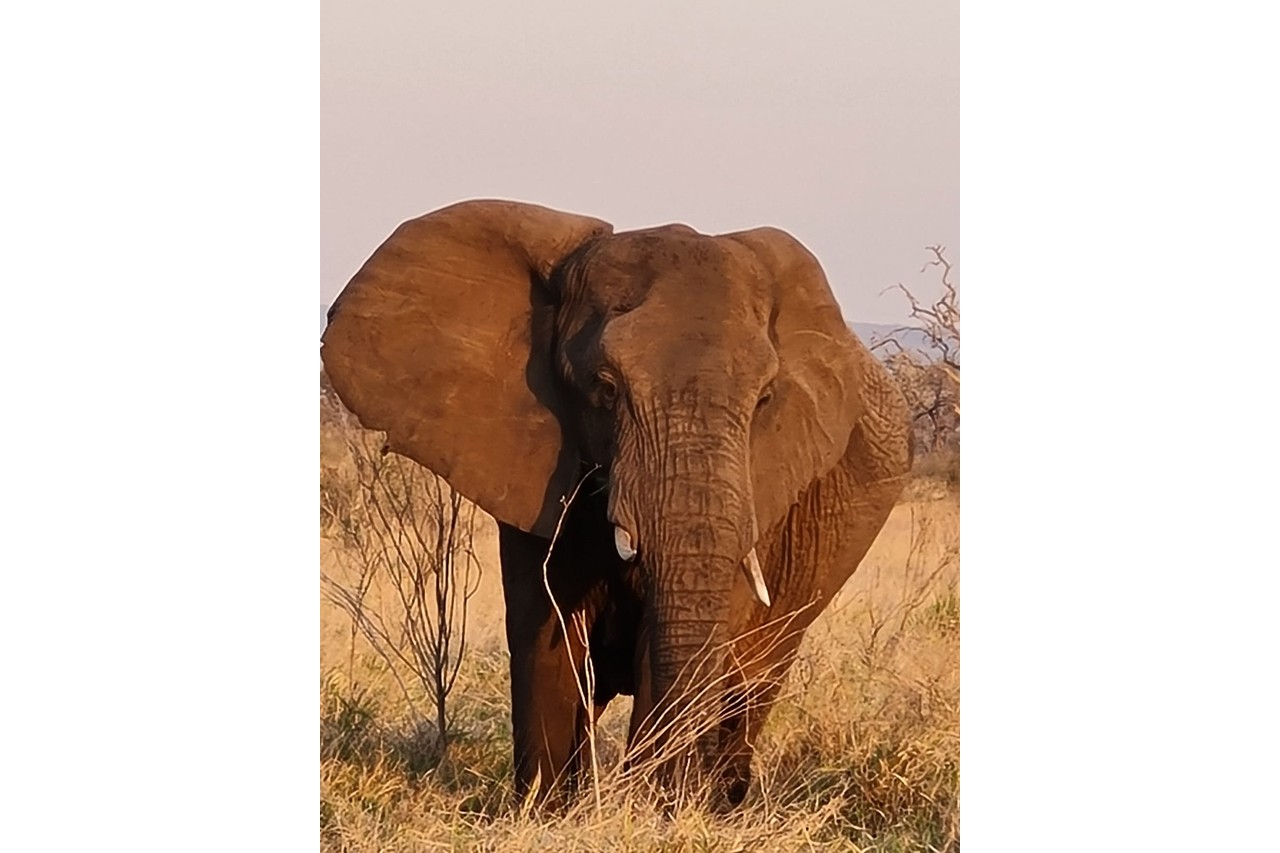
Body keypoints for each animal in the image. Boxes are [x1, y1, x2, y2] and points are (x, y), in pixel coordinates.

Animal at [320, 199, 912, 806]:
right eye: (604, 388)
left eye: (765, 400)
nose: (668, 789)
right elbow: (549, 637)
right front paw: (550, 812)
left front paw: (655, 810)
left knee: (752, 685)